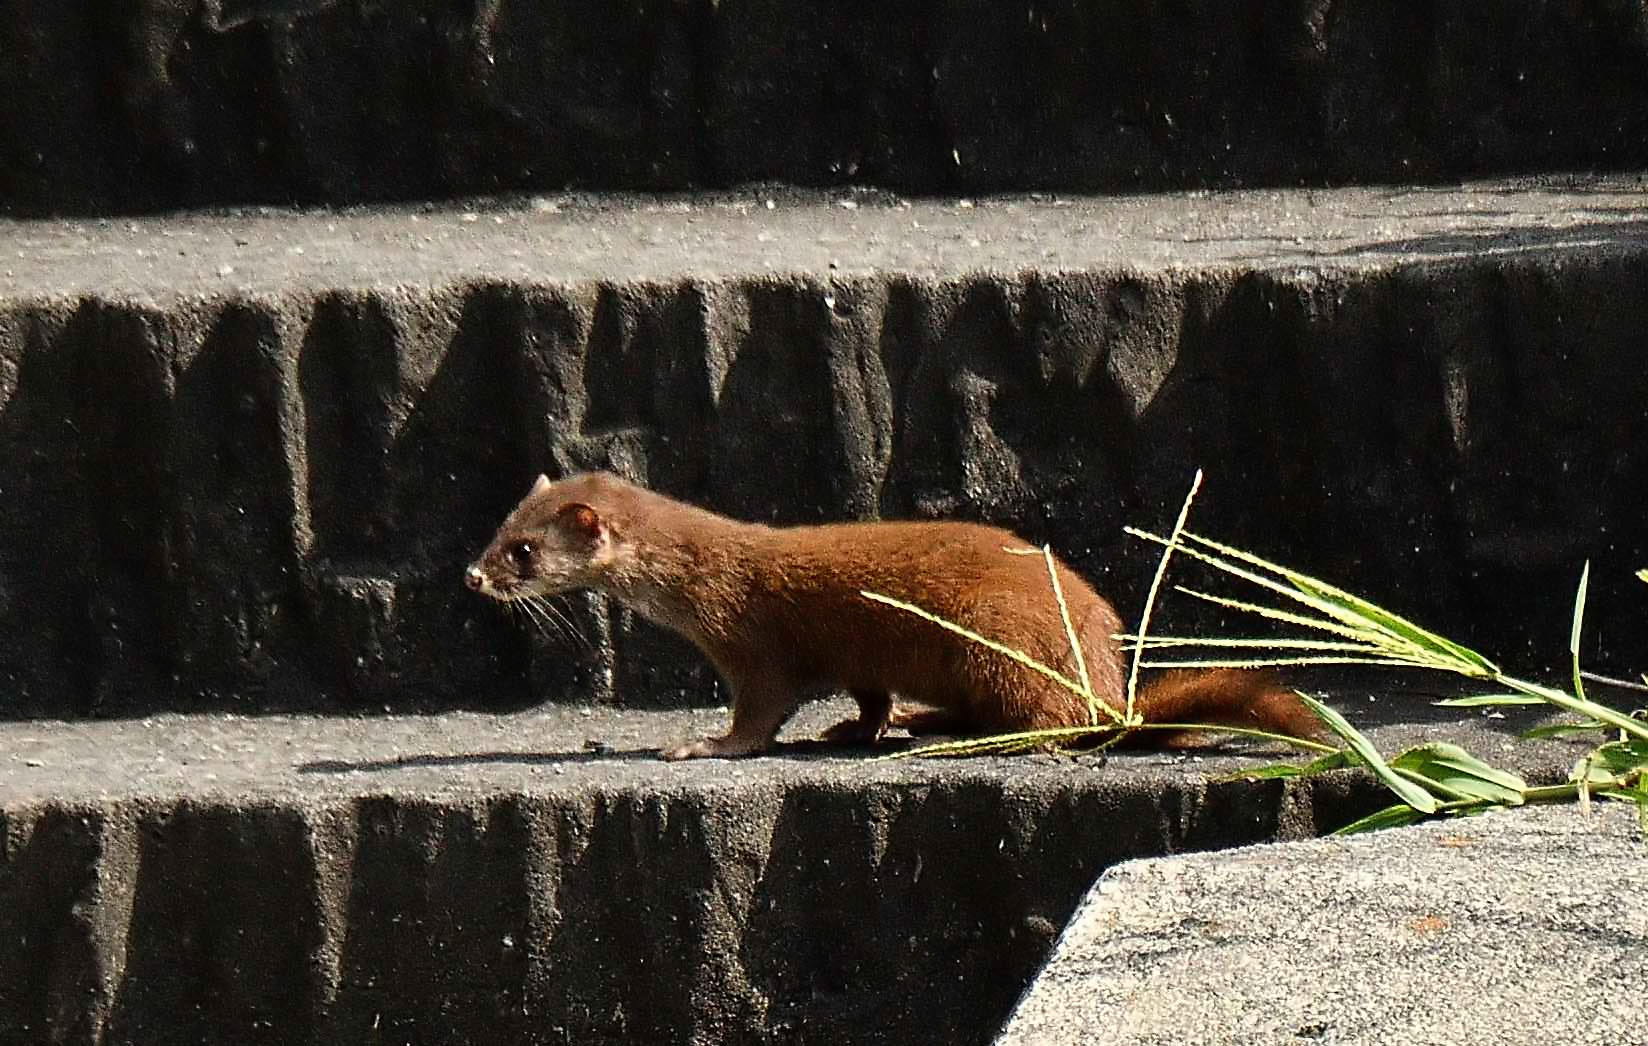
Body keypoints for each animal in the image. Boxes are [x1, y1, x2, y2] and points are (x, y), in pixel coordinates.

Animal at [468, 474, 1324, 761]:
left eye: (523, 551)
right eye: (497, 526)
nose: (472, 574)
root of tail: (1108, 678)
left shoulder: (751, 642)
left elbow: (760, 712)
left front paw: (704, 745)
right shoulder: (859, 657)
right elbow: (866, 694)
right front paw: (857, 727)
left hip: (996, 640)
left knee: (1053, 722)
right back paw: (923, 718)